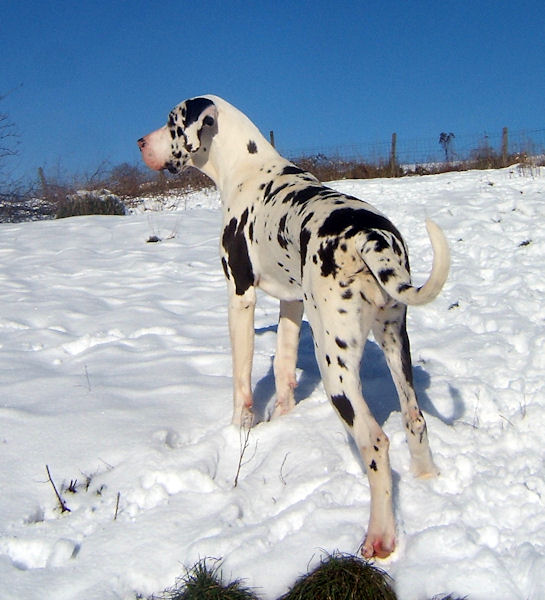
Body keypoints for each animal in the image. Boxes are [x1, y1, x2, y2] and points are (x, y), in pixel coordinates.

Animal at [138, 94, 448, 556]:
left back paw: (379, 536)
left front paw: (239, 432)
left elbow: (242, 381)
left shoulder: (240, 296)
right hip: (396, 343)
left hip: (336, 366)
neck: (247, 168)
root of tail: (370, 238)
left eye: (171, 121)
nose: (141, 142)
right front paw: (282, 421)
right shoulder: (290, 302)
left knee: (376, 442)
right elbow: (283, 369)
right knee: (415, 419)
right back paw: (427, 480)